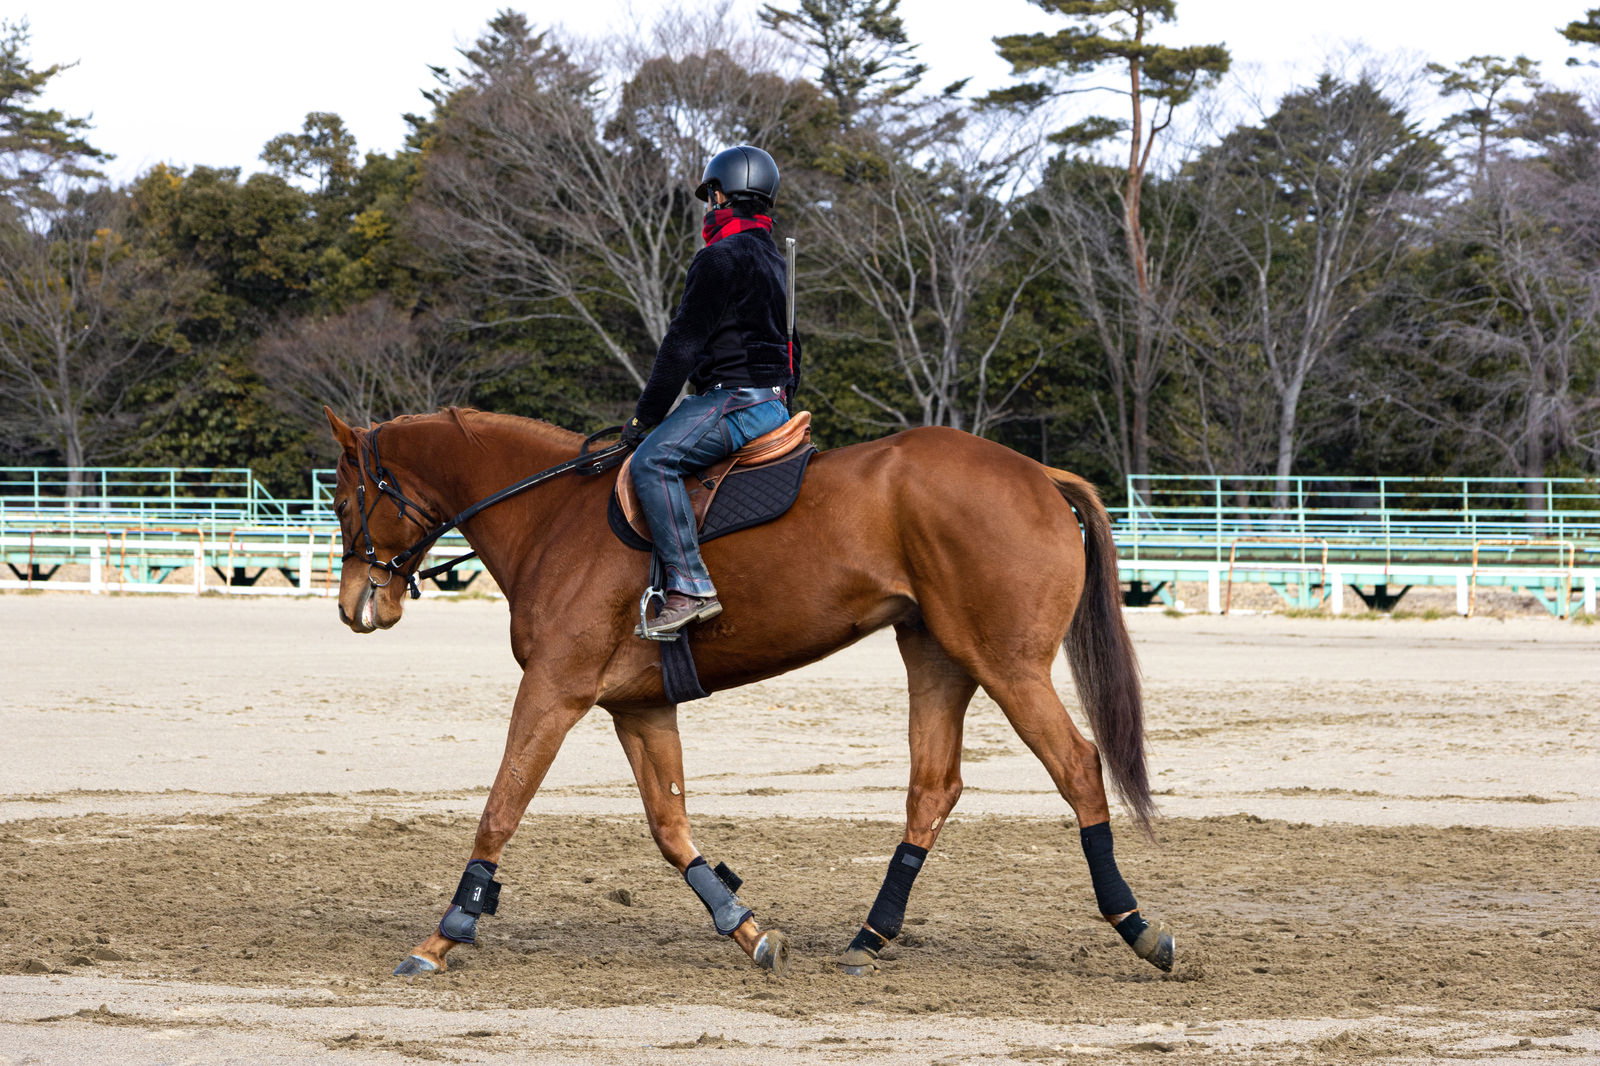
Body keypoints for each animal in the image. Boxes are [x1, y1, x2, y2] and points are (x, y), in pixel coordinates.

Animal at [323, 405, 1175, 978]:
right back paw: (870, 937)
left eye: (342, 500)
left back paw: (1135, 924)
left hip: (1007, 666)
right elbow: (671, 828)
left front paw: (444, 933)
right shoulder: (638, 707)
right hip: (938, 658)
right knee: (933, 788)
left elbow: (500, 810)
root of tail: (1037, 473)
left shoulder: (554, 692)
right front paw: (746, 926)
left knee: (1077, 767)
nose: (356, 605)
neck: (551, 516)